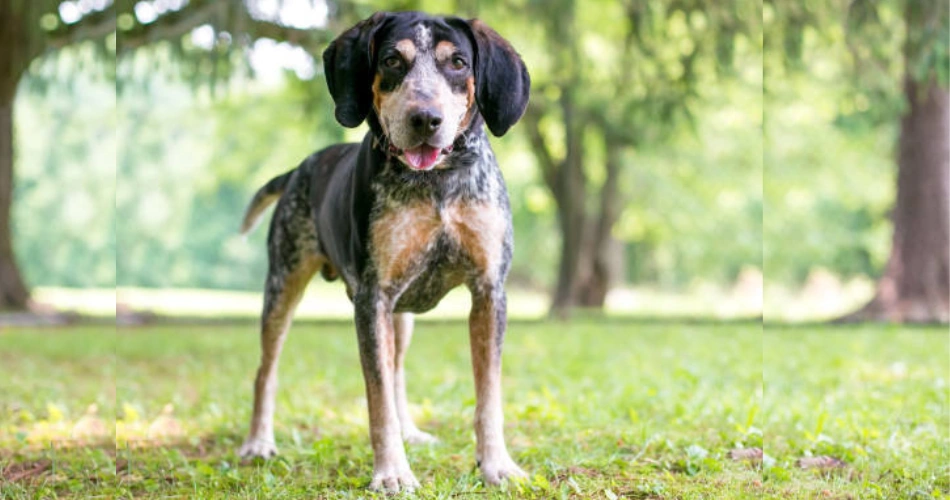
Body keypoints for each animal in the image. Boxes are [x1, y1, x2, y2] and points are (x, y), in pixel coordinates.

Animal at [237, 10, 532, 492]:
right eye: (393, 60)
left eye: (458, 63)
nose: (425, 118)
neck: (437, 182)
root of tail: (299, 168)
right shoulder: (372, 298)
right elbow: (377, 403)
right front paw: (392, 471)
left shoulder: (489, 292)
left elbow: (488, 396)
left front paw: (497, 465)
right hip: (283, 287)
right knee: (267, 370)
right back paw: (258, 442)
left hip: (402, 315)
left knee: (396, 372)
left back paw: (412, 430)